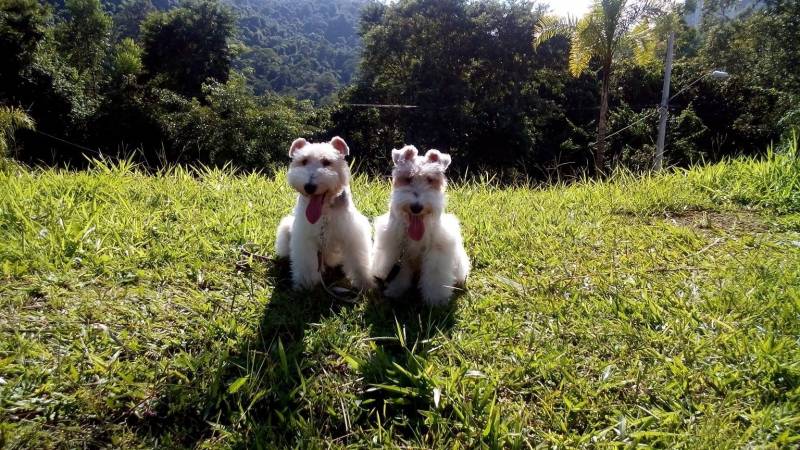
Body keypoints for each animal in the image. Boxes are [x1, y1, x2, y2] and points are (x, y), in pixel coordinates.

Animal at [276, 137, 376, 290]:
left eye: (327, 162)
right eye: (304, 161)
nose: (309, 186)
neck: (325, 210)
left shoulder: (353, 234)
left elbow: (358, 261)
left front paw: (364, 282)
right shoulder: (304, 236)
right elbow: (306, 262)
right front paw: (305, 283)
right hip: (287, 227)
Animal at [372, 144, 472, 306]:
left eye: (430, 179)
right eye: (408, 178)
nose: (416, 207)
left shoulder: (437, 249)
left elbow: (435, 276)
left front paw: (436, 299)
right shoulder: (396, 247)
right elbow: (400, 273)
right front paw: (395, 290)